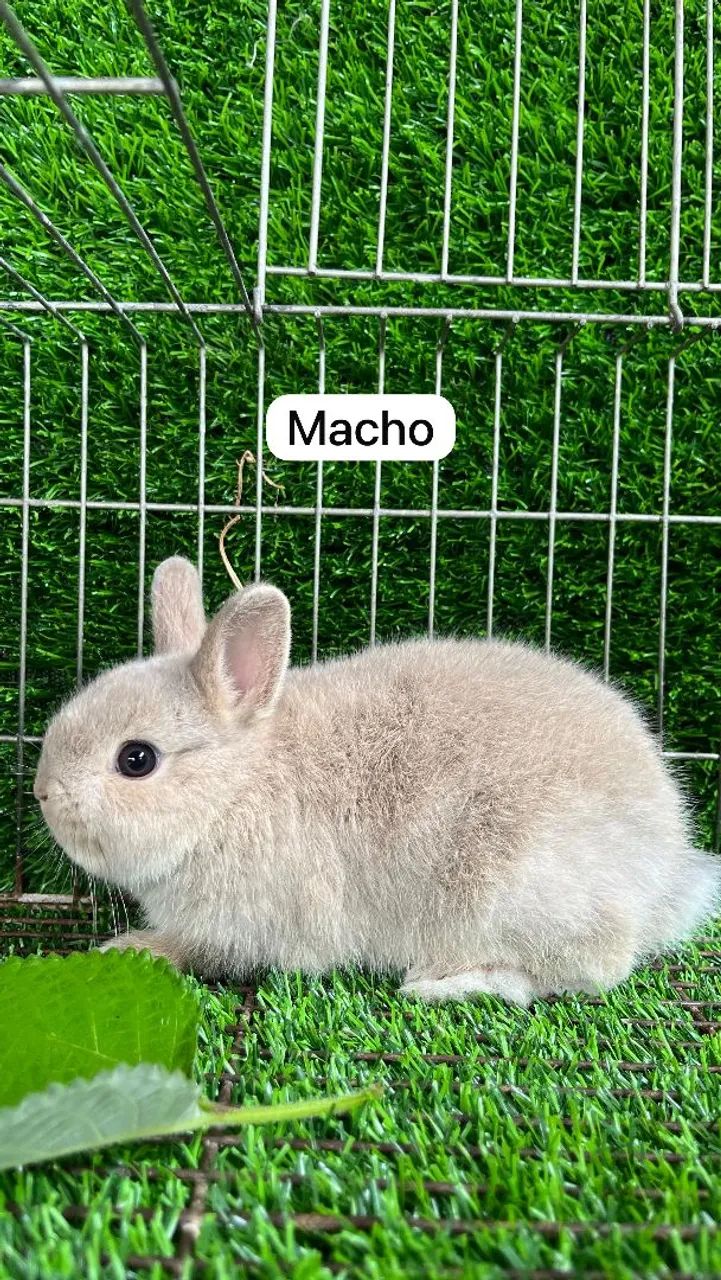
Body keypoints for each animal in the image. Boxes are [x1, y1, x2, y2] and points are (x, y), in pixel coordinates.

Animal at [33, 555, 720, 1006]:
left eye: (136, 759)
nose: (42, 793)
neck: (233, 792)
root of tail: (665, 870)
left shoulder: (244, 925)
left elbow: (201, 953)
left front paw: (131, 949)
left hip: (510, 891)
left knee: (591, 969)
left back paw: (445, 985)